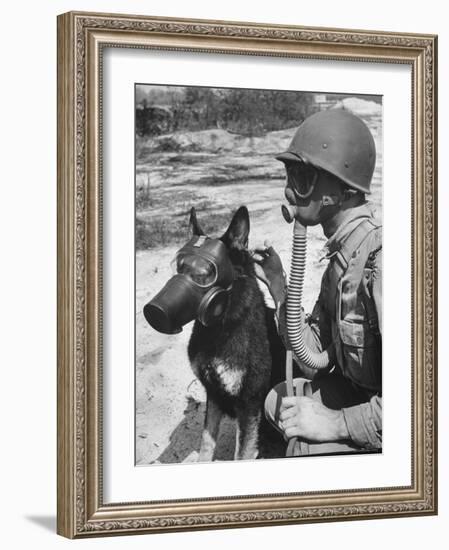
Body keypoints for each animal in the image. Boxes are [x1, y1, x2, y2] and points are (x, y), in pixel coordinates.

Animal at [185, 206, 272, 462]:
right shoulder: (213, 395)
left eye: (206, 272)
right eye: (180, 267)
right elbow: (206, 441)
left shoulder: (249, 403)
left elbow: (242, 452)